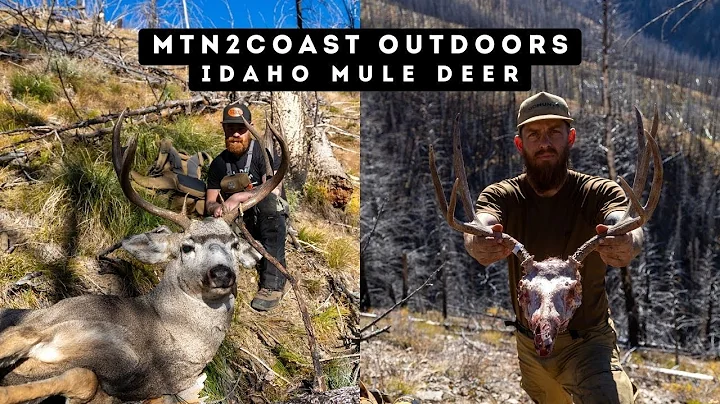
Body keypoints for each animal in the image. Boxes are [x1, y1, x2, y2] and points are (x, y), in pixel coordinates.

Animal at [0, 110, 288, 403]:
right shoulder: (47, 321)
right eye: (186, 247)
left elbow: (84, 377)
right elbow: (18, 342)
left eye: (233, 244)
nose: (221, 273)